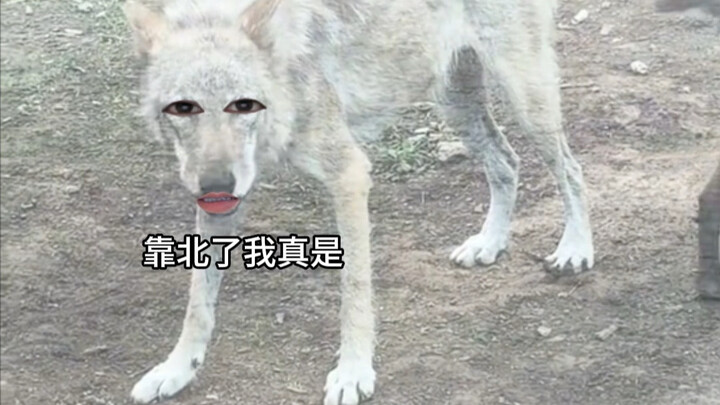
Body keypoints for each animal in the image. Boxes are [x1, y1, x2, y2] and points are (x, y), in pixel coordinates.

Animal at [123, 0, 595, 403]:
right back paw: (490, 243)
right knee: (507, 162)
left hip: (527, 102)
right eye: (182, 109)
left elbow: (354, 291)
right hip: (455, 103)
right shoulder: (221, 200)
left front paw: (353, 373)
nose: (215, 185)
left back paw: (575, 249)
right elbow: (198, 301)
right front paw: (177, 369)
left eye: (244, 105)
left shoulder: (349, 176)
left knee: (571, 170)